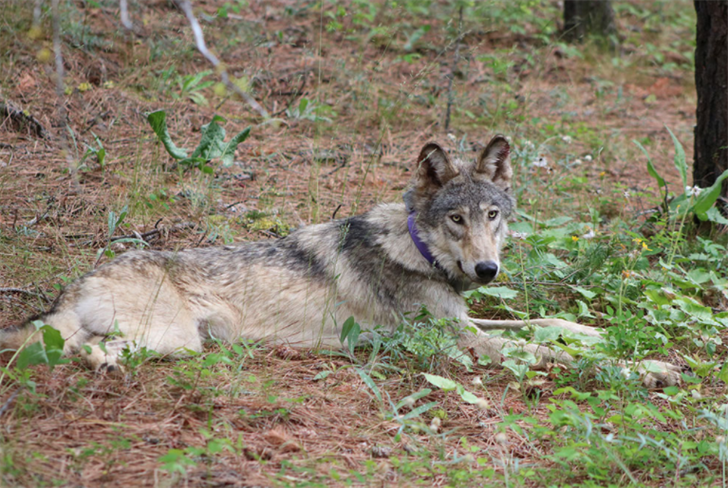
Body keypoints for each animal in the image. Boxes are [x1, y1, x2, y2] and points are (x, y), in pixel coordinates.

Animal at [1, 135, 680, 387]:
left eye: (493, 215)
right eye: (456, 220)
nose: (487, 271)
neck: (417, 249)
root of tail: (77, 281)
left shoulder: (464, 321)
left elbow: (548, 325)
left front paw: (600, 334)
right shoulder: (459, 343)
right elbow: (541, 351)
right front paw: (649, 367)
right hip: (174, 340)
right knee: (81, 352)